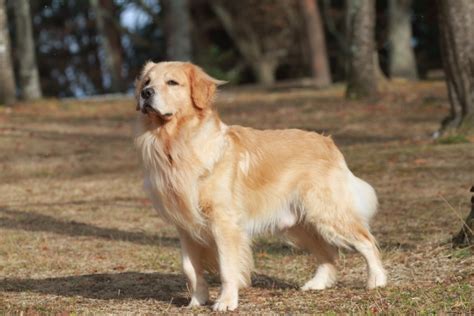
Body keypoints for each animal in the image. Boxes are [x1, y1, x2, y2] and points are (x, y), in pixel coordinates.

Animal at [133, 61, 386, 312]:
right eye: (146, 82)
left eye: (172, 82)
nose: (146, 93)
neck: (175, 143)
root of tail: (328, 142)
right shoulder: (185, 227)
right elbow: (190, 268)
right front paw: (197, 300)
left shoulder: (224, 222)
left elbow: (227, 266)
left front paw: (226, 302)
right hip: (298, 225)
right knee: (328, 253)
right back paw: (317, 283)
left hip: (327, 212)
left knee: (366, 242)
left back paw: (377, 280)